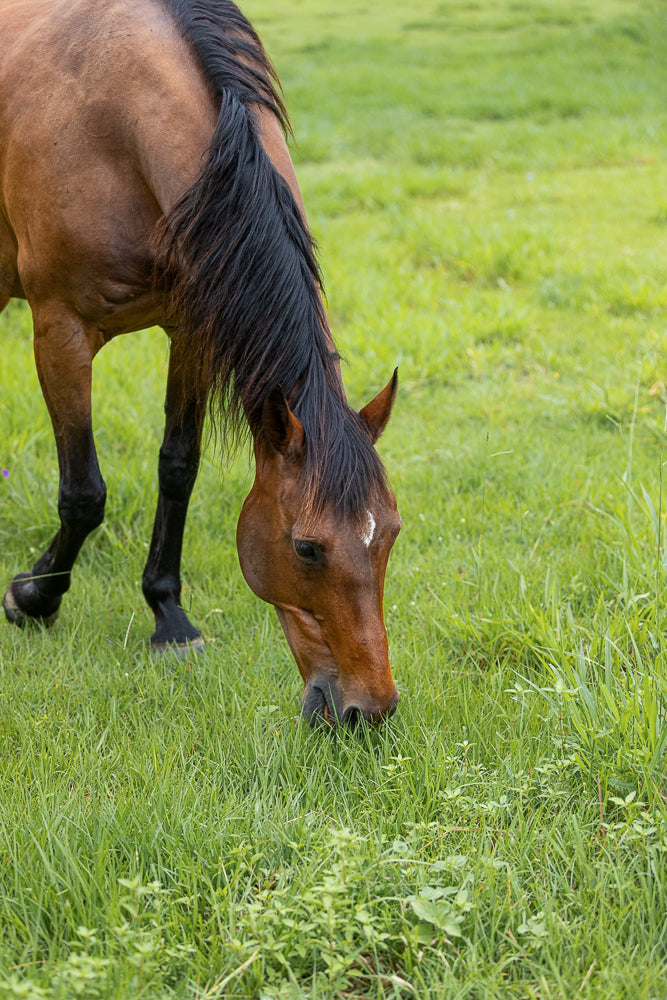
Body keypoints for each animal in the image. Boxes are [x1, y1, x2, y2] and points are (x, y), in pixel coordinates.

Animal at [0, 0, 401, 727]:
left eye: (389, 533)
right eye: (306, 547)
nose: (369, 710)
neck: (113, 130)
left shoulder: (191, 328)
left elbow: (178, 467)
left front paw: (169, 617)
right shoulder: (60, 331)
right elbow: (84, 493)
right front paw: (33, 598)